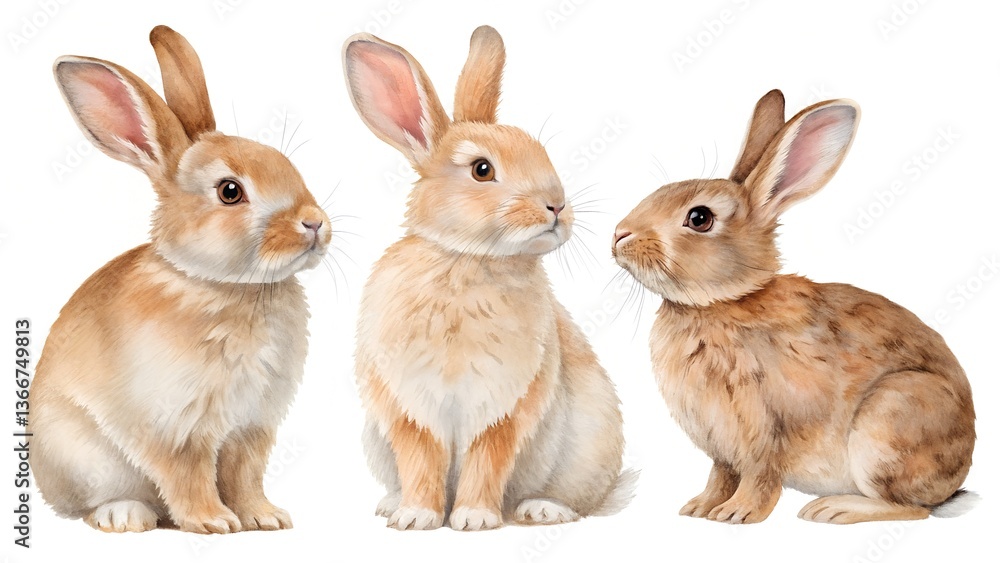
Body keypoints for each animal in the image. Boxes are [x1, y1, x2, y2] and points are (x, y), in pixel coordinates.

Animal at [30, 25, 331, 534]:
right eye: (230, 191)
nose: (314, 223)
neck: (230, 288)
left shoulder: (251, 427)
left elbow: (244, 474)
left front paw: (264, 518)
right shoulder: (175, 427)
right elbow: (187, 474)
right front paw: (214, 523)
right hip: (83, 459)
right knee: (90, 506)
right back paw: (125, 516)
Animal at [343, 25, 635, 531]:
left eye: (541, 153)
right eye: (482, 169)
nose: (557, 205)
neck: (469, 260)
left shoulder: (504, 406)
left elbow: (488, 459)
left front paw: (474, 518)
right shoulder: (409, 406)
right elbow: (421, 458)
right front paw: (417, 516)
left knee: (578, 499)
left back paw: (543, 508)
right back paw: (392, 504)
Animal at [612, 89, 976, 524]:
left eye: (699, 218)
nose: (619, 235)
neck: (721, 303)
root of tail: (957, 476)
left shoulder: (762, 428)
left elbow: (759, 476)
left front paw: (736, 515)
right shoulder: (721, 448)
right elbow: (720, 474)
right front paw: (699, 507)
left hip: (890, 420)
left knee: (912, 508)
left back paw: (833, 509)